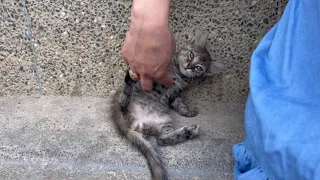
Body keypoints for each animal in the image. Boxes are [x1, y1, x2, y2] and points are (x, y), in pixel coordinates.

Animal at [110, 31, 225, 180]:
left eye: (199, 68)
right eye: (191, 55)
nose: (189, 66)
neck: (179, 75)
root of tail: (131, 126)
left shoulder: (175, 93)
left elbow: (179, 103)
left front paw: (188, 112)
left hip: (164, 120)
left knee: (162, 140)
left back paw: (189, 131)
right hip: (123, 106)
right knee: (123, 100)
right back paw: (129, 79)